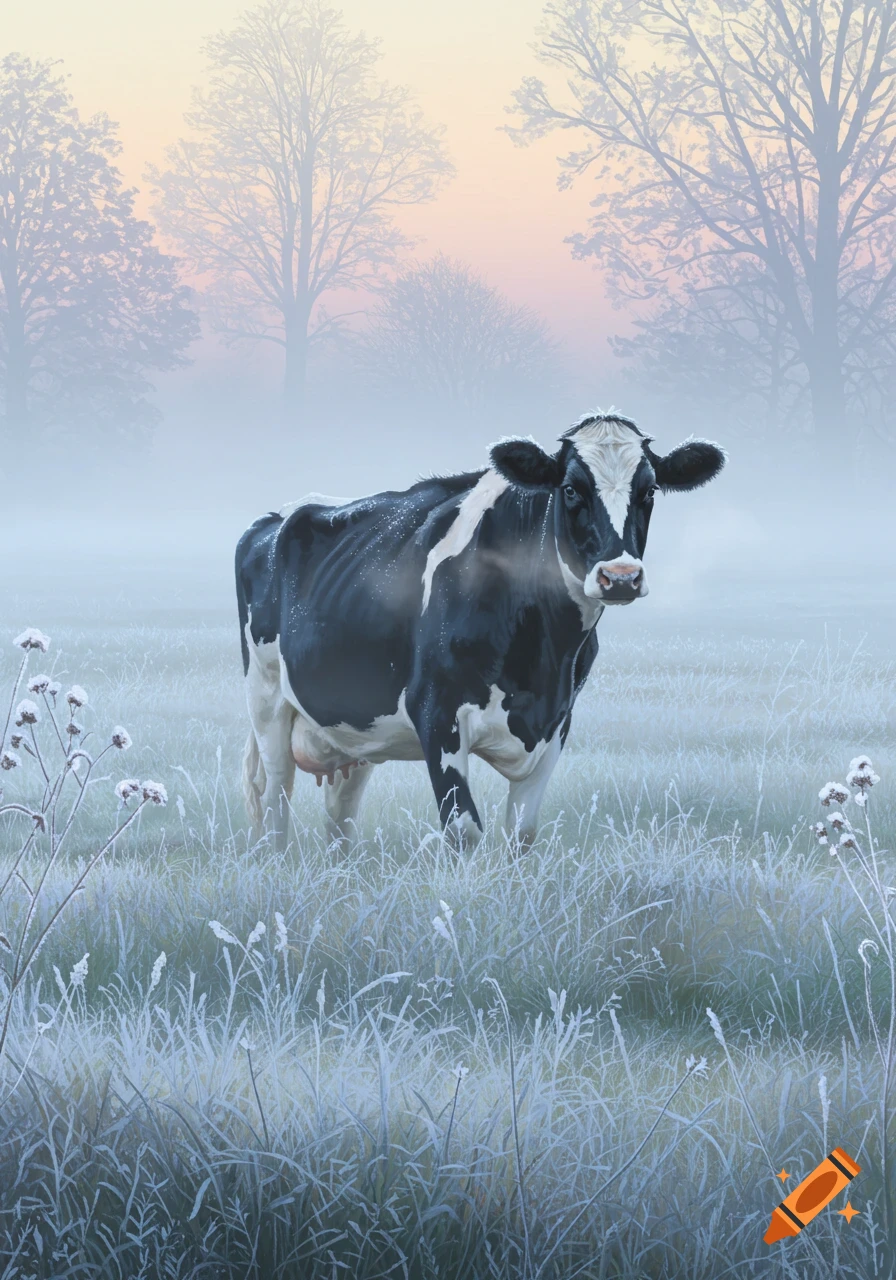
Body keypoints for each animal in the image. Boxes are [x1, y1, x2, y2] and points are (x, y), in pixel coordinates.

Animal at [236, 413, 725, 852]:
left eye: (650, 490)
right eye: (570, 489)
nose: (620, 577)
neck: (542, 659)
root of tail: (277, 516)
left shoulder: (558, 722)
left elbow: (523, 835)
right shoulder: (436, 711)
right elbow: (464, 832)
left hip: (353, 723)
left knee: (341, 812)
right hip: (267, 699)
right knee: (275, 801)